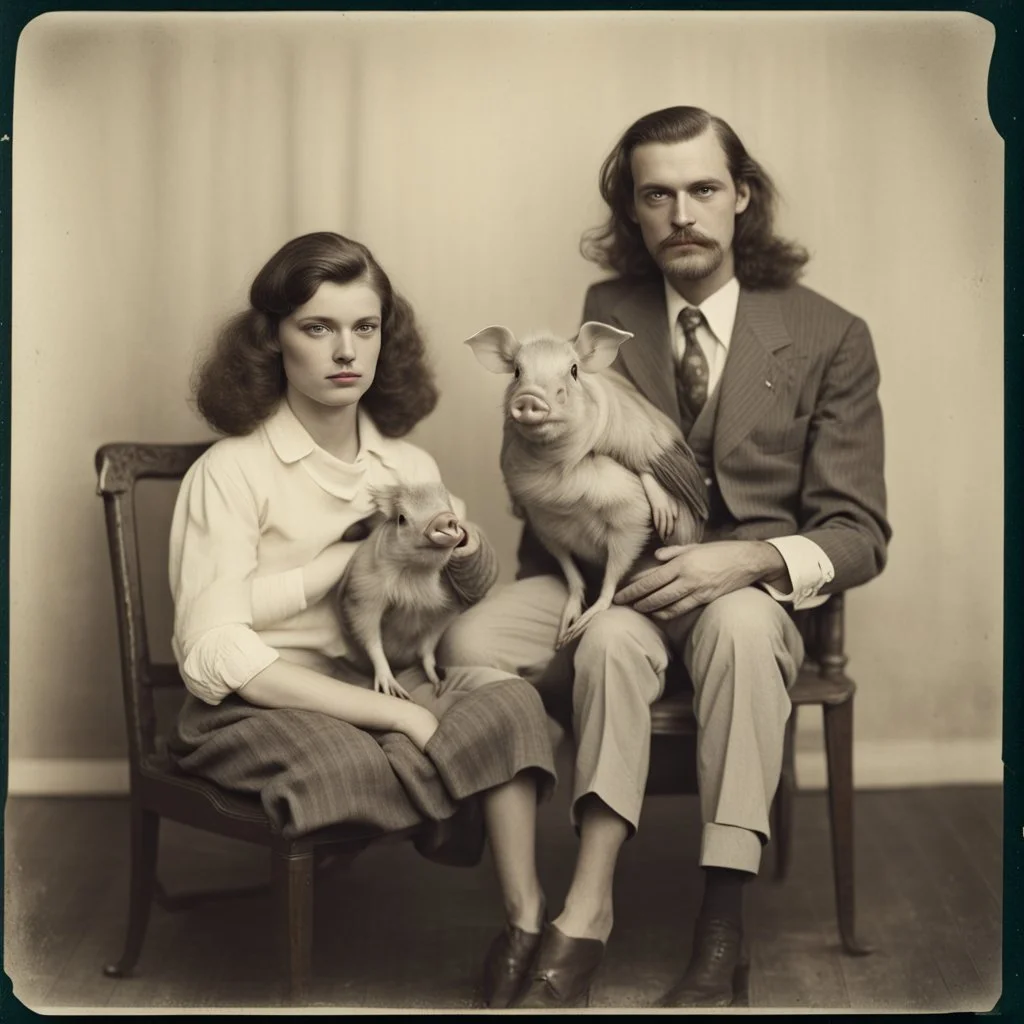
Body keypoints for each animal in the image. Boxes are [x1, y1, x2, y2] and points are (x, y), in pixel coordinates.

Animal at [333, 479, 466, 696]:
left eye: (448, 505)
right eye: (401, 518)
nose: (444, 517)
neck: (413, 581)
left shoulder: (451, 606)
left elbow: (428, 646)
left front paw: (437, 686)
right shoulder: (361, 593)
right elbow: (370, 636)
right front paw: (395, 692)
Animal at [468, 319, 708, 647]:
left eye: (573, 370)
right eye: (517, 371)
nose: (530, 397)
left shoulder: (630, 521)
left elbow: (613, 576)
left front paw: (581, 626)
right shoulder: (544, 525)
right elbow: (571, 574)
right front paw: (564, 632)